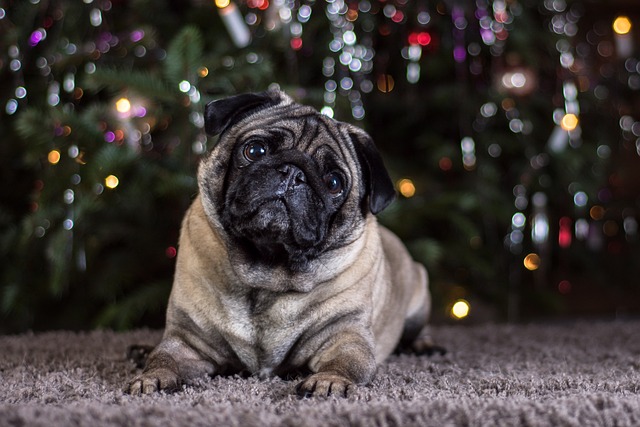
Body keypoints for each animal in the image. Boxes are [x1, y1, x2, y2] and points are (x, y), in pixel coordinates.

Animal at [124, 88, 436, 400]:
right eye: (255, 151)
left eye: (334, 183)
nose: (293, 173)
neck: (266, 271)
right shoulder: (188, 341)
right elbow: (164, 358)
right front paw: (152, 377)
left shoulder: (345, 336)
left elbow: (347, 363)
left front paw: (329, 381)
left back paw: (424, 345)